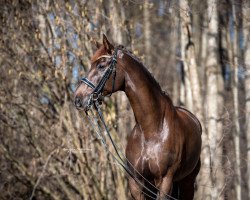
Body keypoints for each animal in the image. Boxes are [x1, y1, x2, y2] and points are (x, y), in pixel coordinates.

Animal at [73, 33, 201, 199]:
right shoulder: (137, 183)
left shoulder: (165, 182)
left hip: (187, 183)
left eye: (101, 66)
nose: (78, 98)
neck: (152, 129)